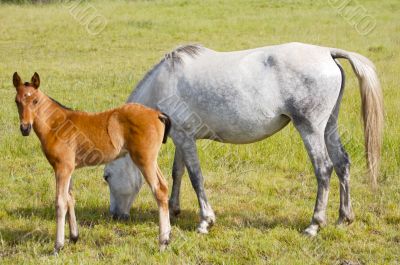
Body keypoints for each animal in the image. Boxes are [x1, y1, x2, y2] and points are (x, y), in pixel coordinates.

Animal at [12, 71, 172, 252]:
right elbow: (70, 198)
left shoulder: (62, 168)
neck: (56, 124)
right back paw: (167, 238)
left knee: (159, 191)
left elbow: (61, 202)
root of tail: (157, 114)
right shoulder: (69, 169)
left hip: (144, 160)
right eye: (17, 101)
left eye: (35, 101)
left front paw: (58, 246)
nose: (25, 128)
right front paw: (74, 237)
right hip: (151, 160)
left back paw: (162, 242)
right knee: (164, 186)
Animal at [101, 42, 382, 235]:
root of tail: (327, 53)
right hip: (328, 127)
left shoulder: (185, 139)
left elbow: (195, 177)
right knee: (342, 164)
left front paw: (205, 222)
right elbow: (177, 173)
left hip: (311, 129)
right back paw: (343, 218)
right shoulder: (183, 138)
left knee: (324, 169)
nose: (115, 215)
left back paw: (314, 224)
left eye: (106, 176)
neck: (164, 83)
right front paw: (173, 209)